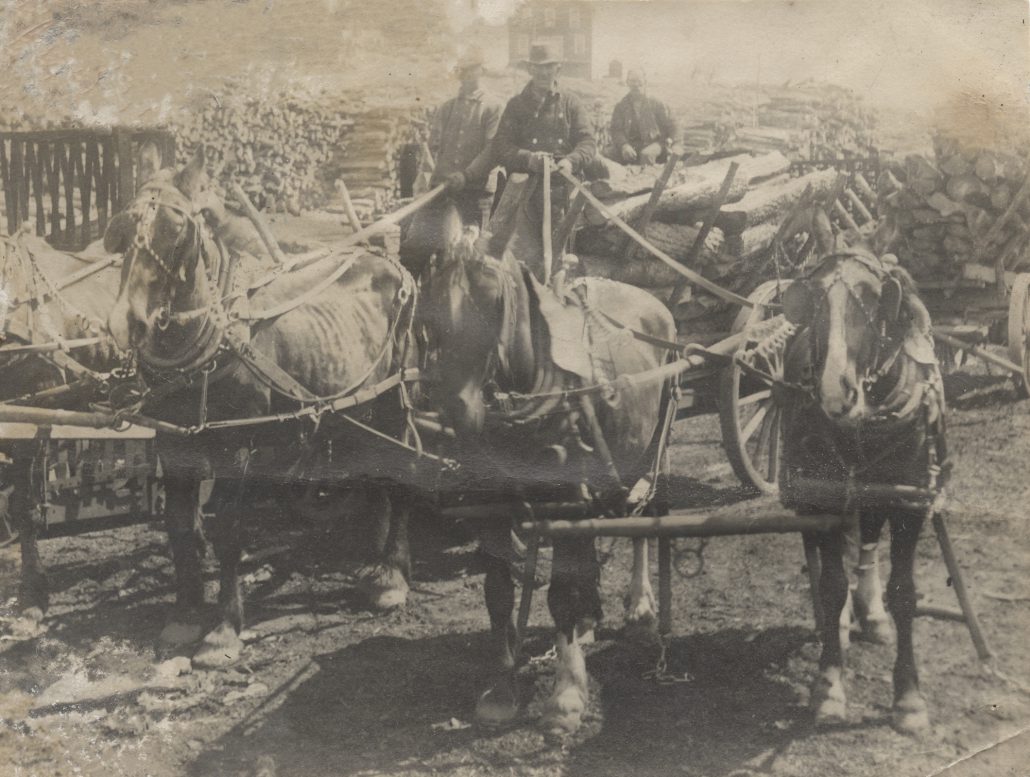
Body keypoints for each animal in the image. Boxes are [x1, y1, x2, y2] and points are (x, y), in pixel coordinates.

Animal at [106, 146, 420, 667]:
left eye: (177, 227)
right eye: (124, 226)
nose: (126, 322)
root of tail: (385, 259)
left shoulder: (238, 446)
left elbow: (230, 529)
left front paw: (223, 630)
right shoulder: (173, 444)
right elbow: (180, 528)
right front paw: (185, 615)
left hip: (393, 396)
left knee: (400, 469)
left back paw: (393, 573)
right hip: (349, 406)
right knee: (370, 469)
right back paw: (371, 563)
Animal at [420, 200, 675, 733]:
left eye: (493, 300)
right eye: (428, 305)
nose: (454, 406)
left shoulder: (566, 500)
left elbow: (560, 593)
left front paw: (566, 695)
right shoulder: (494, 507)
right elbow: (498, 593)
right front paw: (501, 688)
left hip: (653, 447)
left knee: (644, 519)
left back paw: (641, 606)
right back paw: (591, 616)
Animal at [774, 249, 943, 733]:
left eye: (873, 297)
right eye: (813, 299)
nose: (836, 389)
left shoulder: (909, 501)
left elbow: (904, 594)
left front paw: (908, 698)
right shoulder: (824, 499)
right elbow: (831, 588)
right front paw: (829, 685)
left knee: (867, 541)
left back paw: (870, 612)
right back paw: (848, 621)